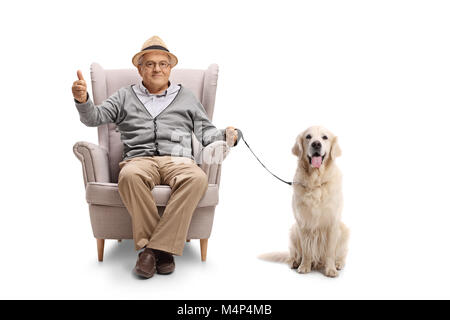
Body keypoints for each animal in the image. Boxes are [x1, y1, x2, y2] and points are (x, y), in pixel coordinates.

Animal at [258, 126, 350, 276]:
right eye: (308, 136)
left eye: (325, 137)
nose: (316, 144)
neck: (316, 182)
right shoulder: (303, 222)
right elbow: (306, 250)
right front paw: (304, 266)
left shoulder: (332, 223)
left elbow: (330, 251)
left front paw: (330, 269)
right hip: (293, 231)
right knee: (294, 253)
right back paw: (295, 262)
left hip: (344, 230)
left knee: (341, 254)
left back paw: (338, 264)